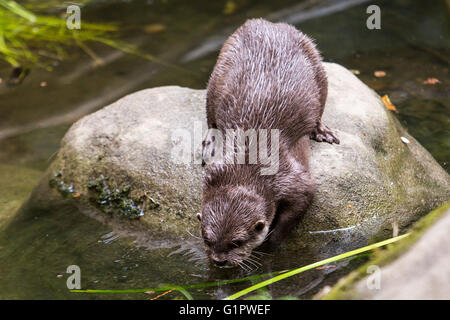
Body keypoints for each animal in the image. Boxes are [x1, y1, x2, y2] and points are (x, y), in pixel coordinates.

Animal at [197, 18, 338, 268]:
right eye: (207, 238)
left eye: (237, 242)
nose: (219, 261)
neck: (247, 165)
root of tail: (267, 23)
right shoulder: (215, 173)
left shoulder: (293, 179)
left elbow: (300, 203)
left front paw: (272, 241)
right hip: (217, 75)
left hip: (317, 65)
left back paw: (321, 130)